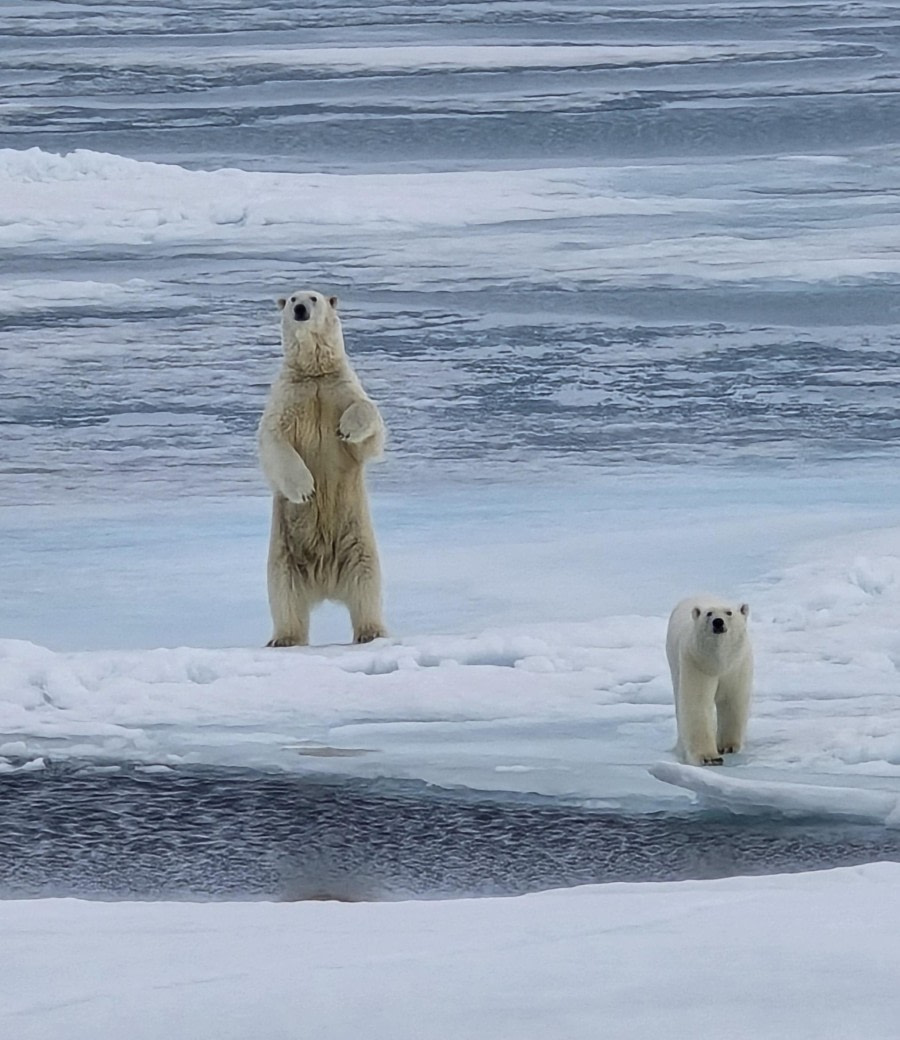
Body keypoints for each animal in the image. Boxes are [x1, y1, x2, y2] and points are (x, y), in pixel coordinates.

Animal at [258, 290, 387, 646]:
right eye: (291, 298)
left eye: (313, 298)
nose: (301, 309)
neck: (313, 373)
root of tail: (326, 583)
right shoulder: (287, 399)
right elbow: (272, 441)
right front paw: (305, 489)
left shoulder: (339, 390)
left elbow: (370, 428)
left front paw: (346, 428)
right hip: (283, 555)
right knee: (284, 595)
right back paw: (284, 638)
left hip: (359, 544)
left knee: (367, 586)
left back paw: (371, 631)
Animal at [665, 596, 753, 766]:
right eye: (709, 613)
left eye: (729, 612)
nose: (718, 622)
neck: (718, 661)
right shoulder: (696, 662)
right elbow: (698, 703)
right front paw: (709, 757)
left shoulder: (737, 665)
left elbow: (732, 700)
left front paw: (728, 746)